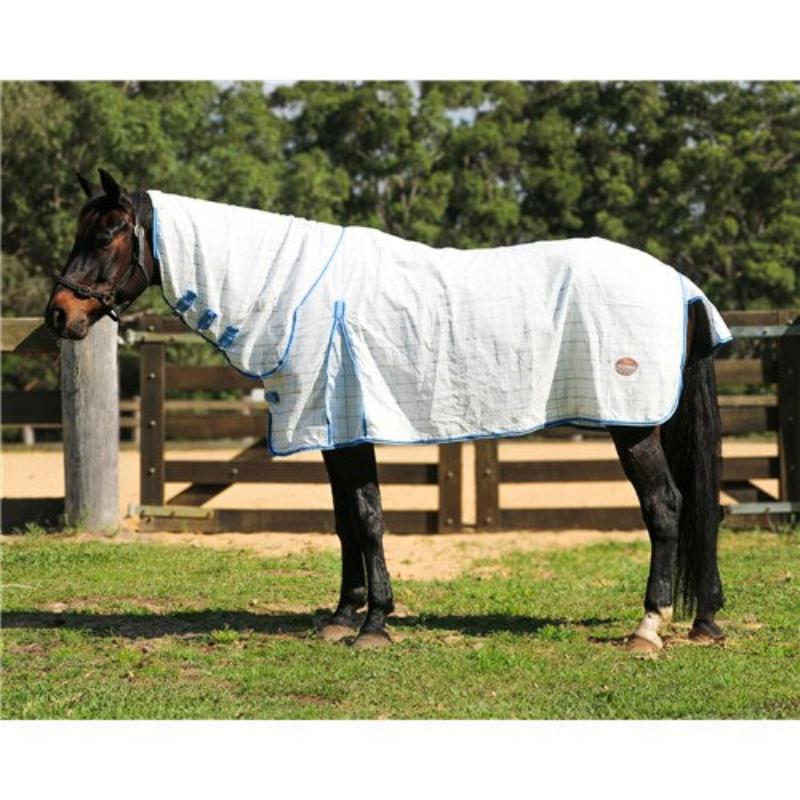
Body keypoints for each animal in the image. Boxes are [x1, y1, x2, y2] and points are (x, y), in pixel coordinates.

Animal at [45, 168, 729, 652]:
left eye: (104, 234)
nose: (59, 314)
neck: (295, 293)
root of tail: (680, 286)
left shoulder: (349, 428)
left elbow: (369, 518)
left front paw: (374, 625)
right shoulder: (332, 429)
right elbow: (345, 520)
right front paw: (341, 616)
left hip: (633, 426)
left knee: (667, 507)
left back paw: (648, 628)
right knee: (701, 506)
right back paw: (706, 620)